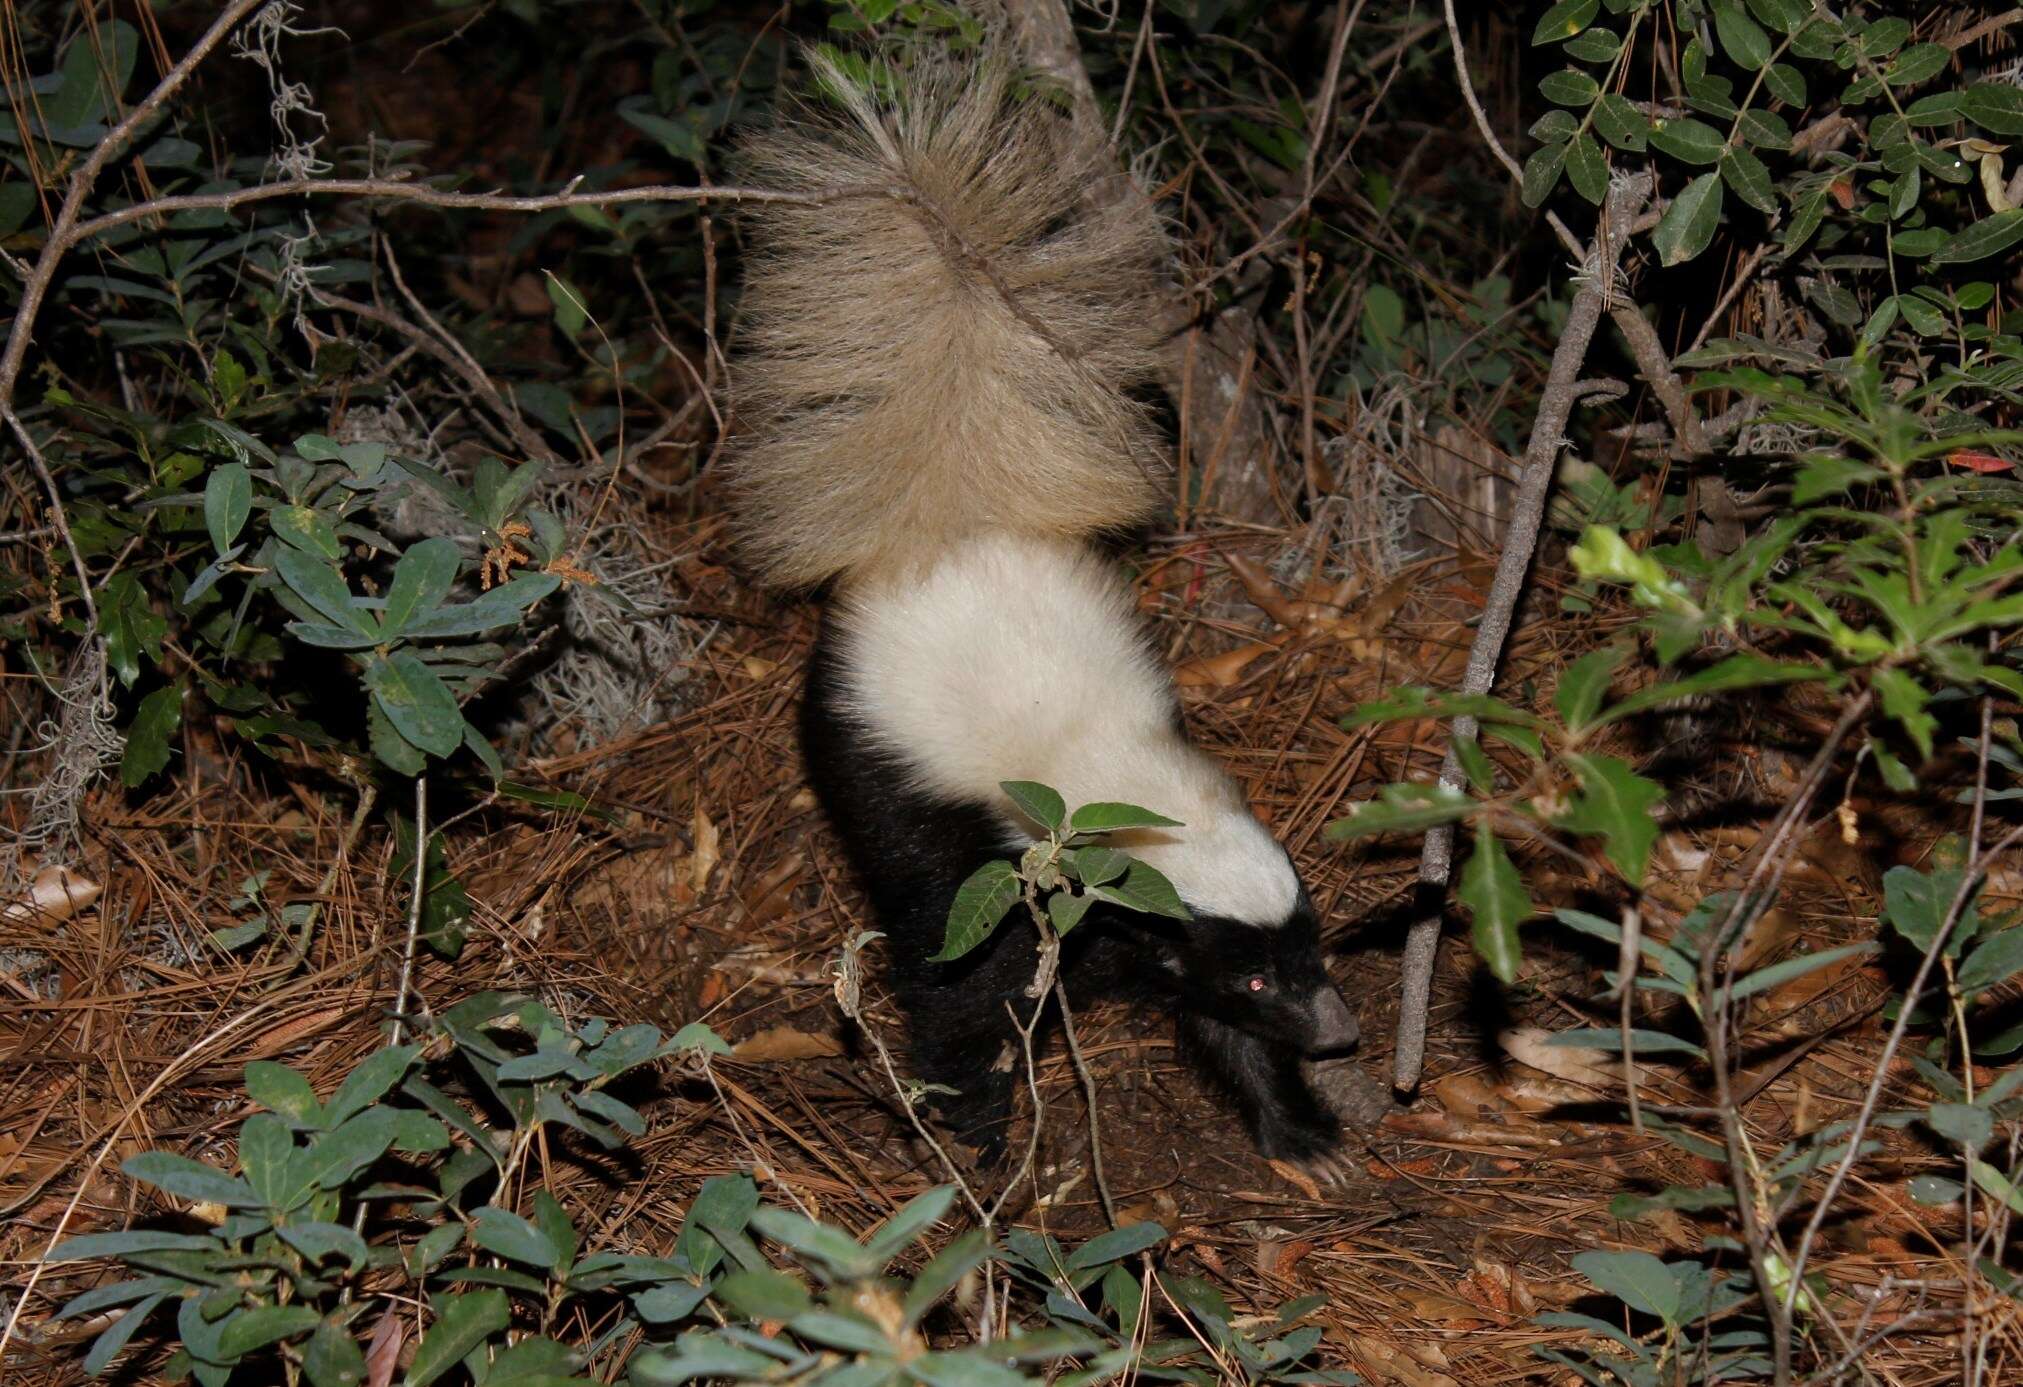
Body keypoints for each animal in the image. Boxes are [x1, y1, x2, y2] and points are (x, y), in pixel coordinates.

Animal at [728, 49, 1359, 1164]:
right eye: (1253, 974)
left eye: (1311, 947)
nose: (1337, 1030)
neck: (1112, 776)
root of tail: (946, 533)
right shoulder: (988, 868)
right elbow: (951, 982)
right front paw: (969, 1122)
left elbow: (1214, 1035)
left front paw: (1296, 1127)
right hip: (860, 747)